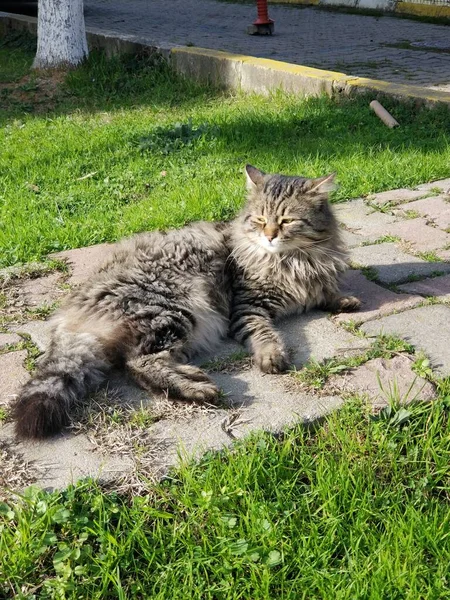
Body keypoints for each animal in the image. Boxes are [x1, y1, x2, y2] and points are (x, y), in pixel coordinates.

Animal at [12, 166, 360, 438]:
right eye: (260, 220)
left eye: (287, 221)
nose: (270, 236)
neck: (294, 261)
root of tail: (73, 312)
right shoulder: (247, 307)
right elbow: (263, 334)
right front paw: (272, 356)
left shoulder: (312, 279)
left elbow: (324, 292)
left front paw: (344, 299)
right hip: (175, 309)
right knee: (139, 363)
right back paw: (198, 388)